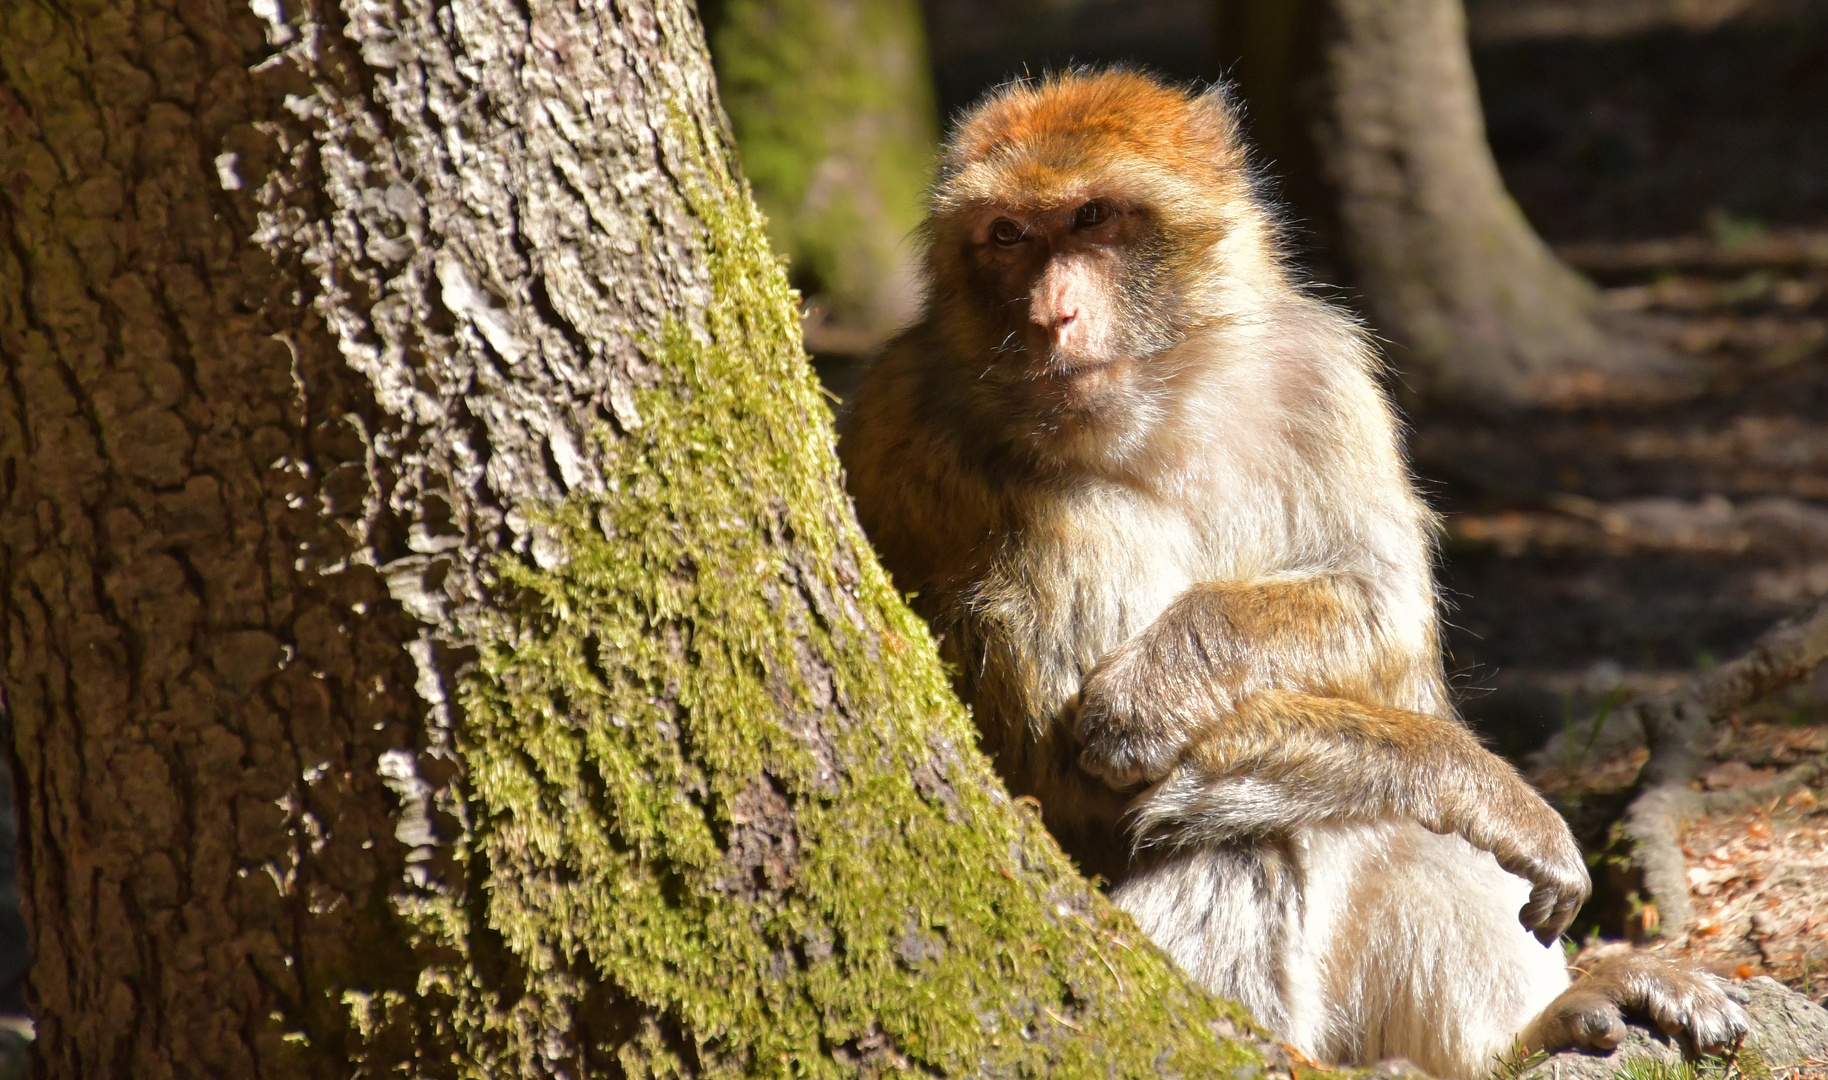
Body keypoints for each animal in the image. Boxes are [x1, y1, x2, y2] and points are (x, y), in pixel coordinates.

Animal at [837, 71, 1747, 1074]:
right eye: (1006, 236)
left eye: (1092, 216)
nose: (1050, 317)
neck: (1159, 414)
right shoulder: (982, 482)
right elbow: (1087, 774)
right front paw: (1492, 792)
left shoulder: (1325, 374)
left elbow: (1382, 603)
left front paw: (1165, 681)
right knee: (1245, 834)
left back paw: (1531, 1031)